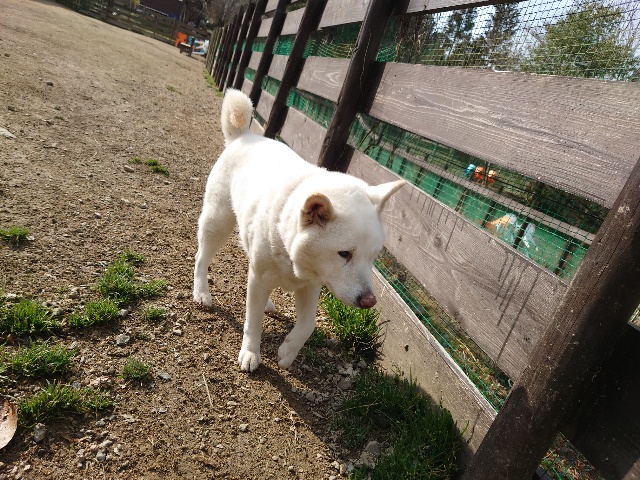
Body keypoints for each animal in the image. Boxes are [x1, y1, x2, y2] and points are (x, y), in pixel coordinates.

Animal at [193, 89, 404, 372]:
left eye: (372, 257)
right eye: (344, 254)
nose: (369, 301)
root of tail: (243, 136)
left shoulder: (312, 285)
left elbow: (307, 325)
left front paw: (288, 352)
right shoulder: (262, 278)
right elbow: (252, 322)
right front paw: (250, 353)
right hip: (218, 221)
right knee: (201, 257)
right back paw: (201, 292)